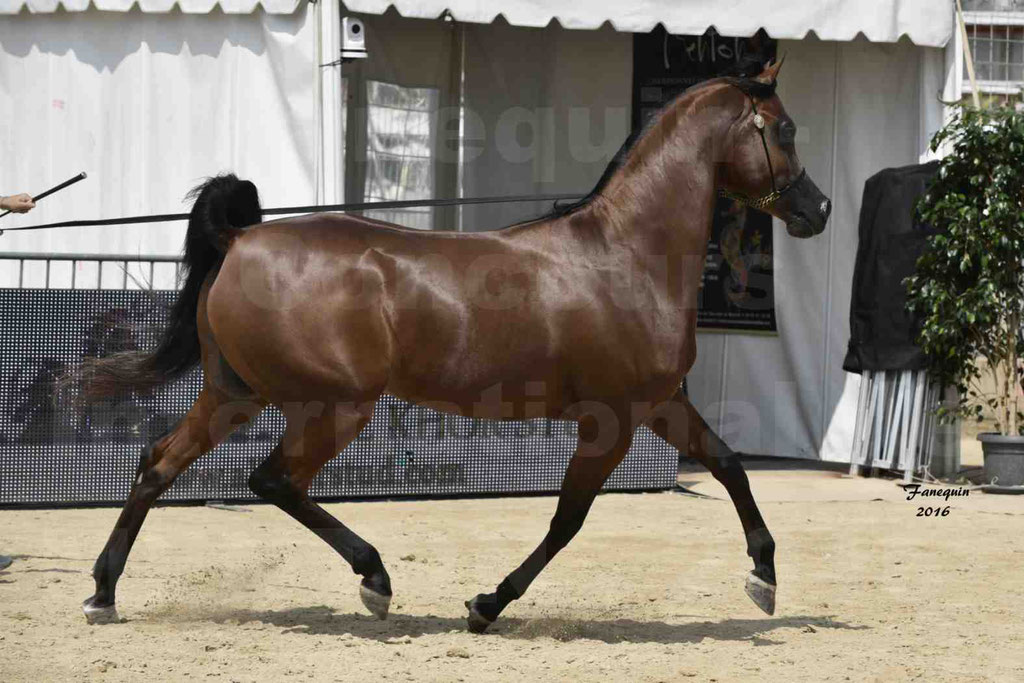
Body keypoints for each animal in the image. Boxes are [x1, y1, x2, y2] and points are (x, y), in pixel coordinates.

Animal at [77, 61, 831, 634]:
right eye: (785, 128)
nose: (818, 210)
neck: (625, 254)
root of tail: (239, 239)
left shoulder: (661, 404)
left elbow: (729, 465)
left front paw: (764, 575)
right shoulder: (611, 419)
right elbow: (568, 518)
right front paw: (485, 605)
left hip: (235, 393)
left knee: (157, 464)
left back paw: (103, 594)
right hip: (331, 407)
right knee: (272, 480)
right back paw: (375, 579)